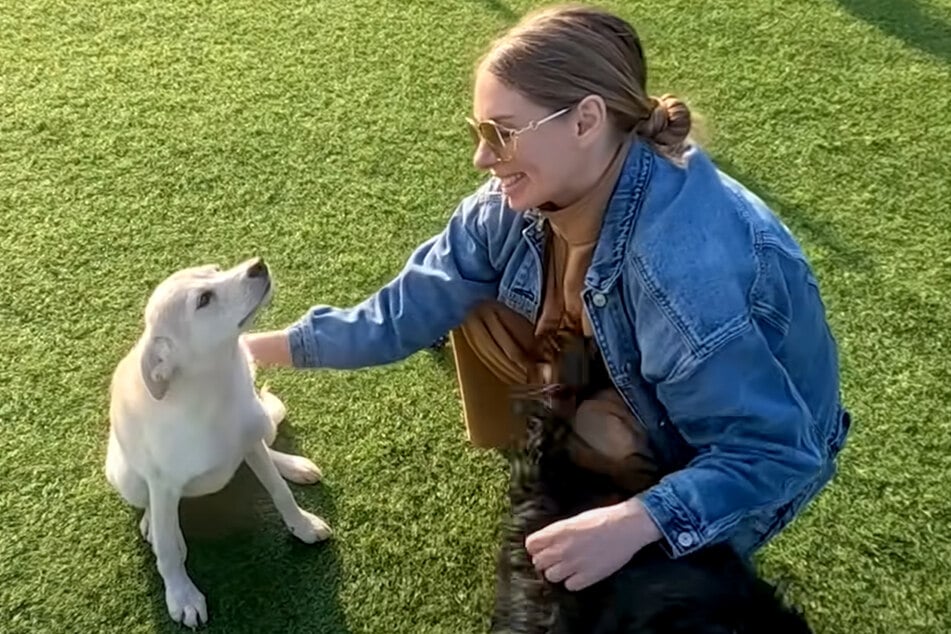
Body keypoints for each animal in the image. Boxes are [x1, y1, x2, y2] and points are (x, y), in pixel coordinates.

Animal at [105, 256, 330, 628]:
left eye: (215, 270)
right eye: (204, 300)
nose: (258, 263)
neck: (216, 390)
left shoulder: (251, 441)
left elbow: (280, 492)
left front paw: (303, 524)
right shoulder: (162, 484)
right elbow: (168, 552)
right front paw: (181, 595)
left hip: (263, 424)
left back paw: (293, 465)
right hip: (123, 475)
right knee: (152, 509)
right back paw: (154, 523)